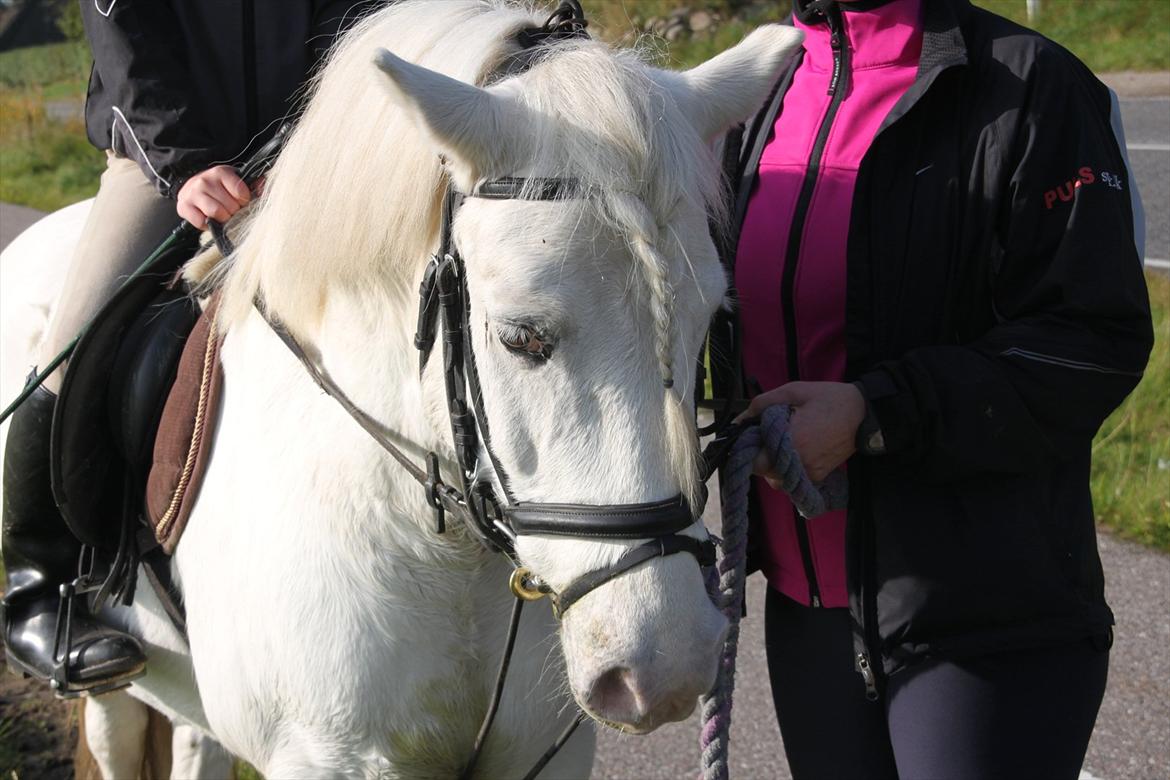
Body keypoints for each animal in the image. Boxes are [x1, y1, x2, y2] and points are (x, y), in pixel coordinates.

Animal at [0, 3, 800, 776]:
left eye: (708, 322)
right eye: (521, 336)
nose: (666, 667)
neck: (443, 553)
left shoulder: (547, 757)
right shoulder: (326, 759)